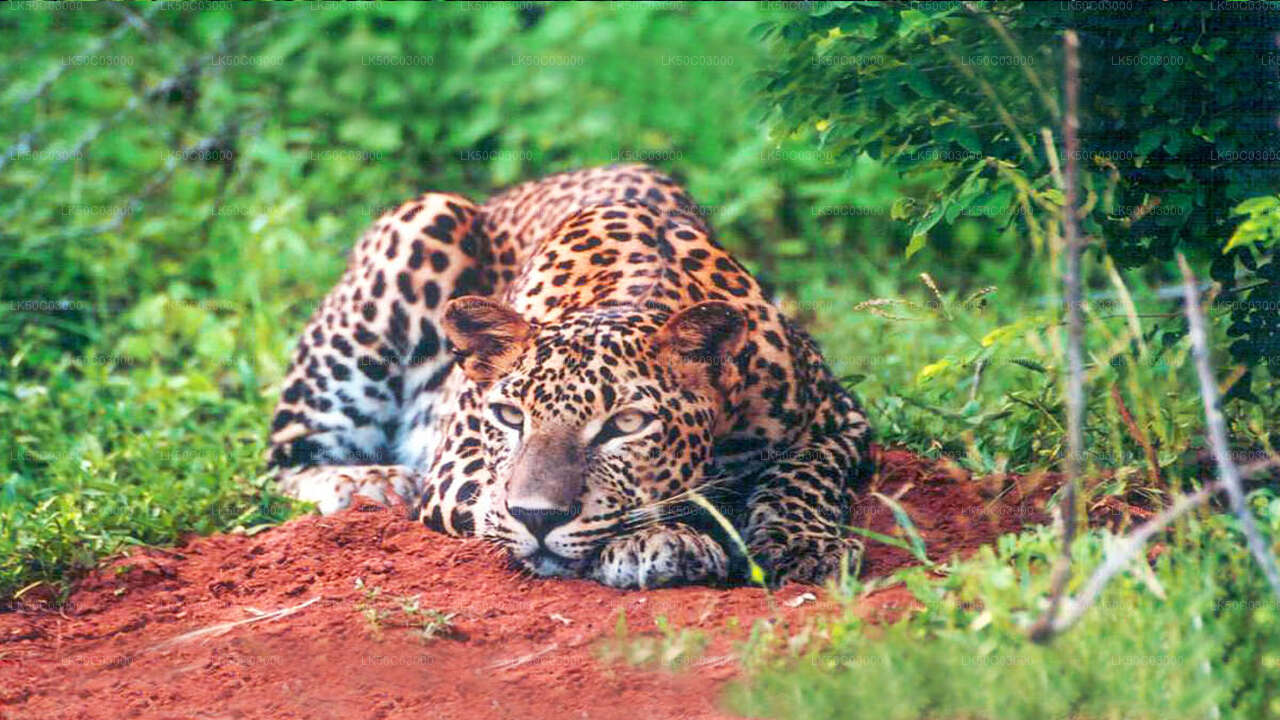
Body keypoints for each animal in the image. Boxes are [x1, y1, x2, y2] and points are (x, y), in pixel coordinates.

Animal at [267, 164, 873, 588]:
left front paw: (804, 545)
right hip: (421, 223)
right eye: (510, 416)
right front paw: (663, 541)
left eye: (625, 424)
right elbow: (496, 500)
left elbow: (802, 474)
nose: (538, 518)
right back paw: (370, 482)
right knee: (286, 457)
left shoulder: (840, 420)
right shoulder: (457, 467)